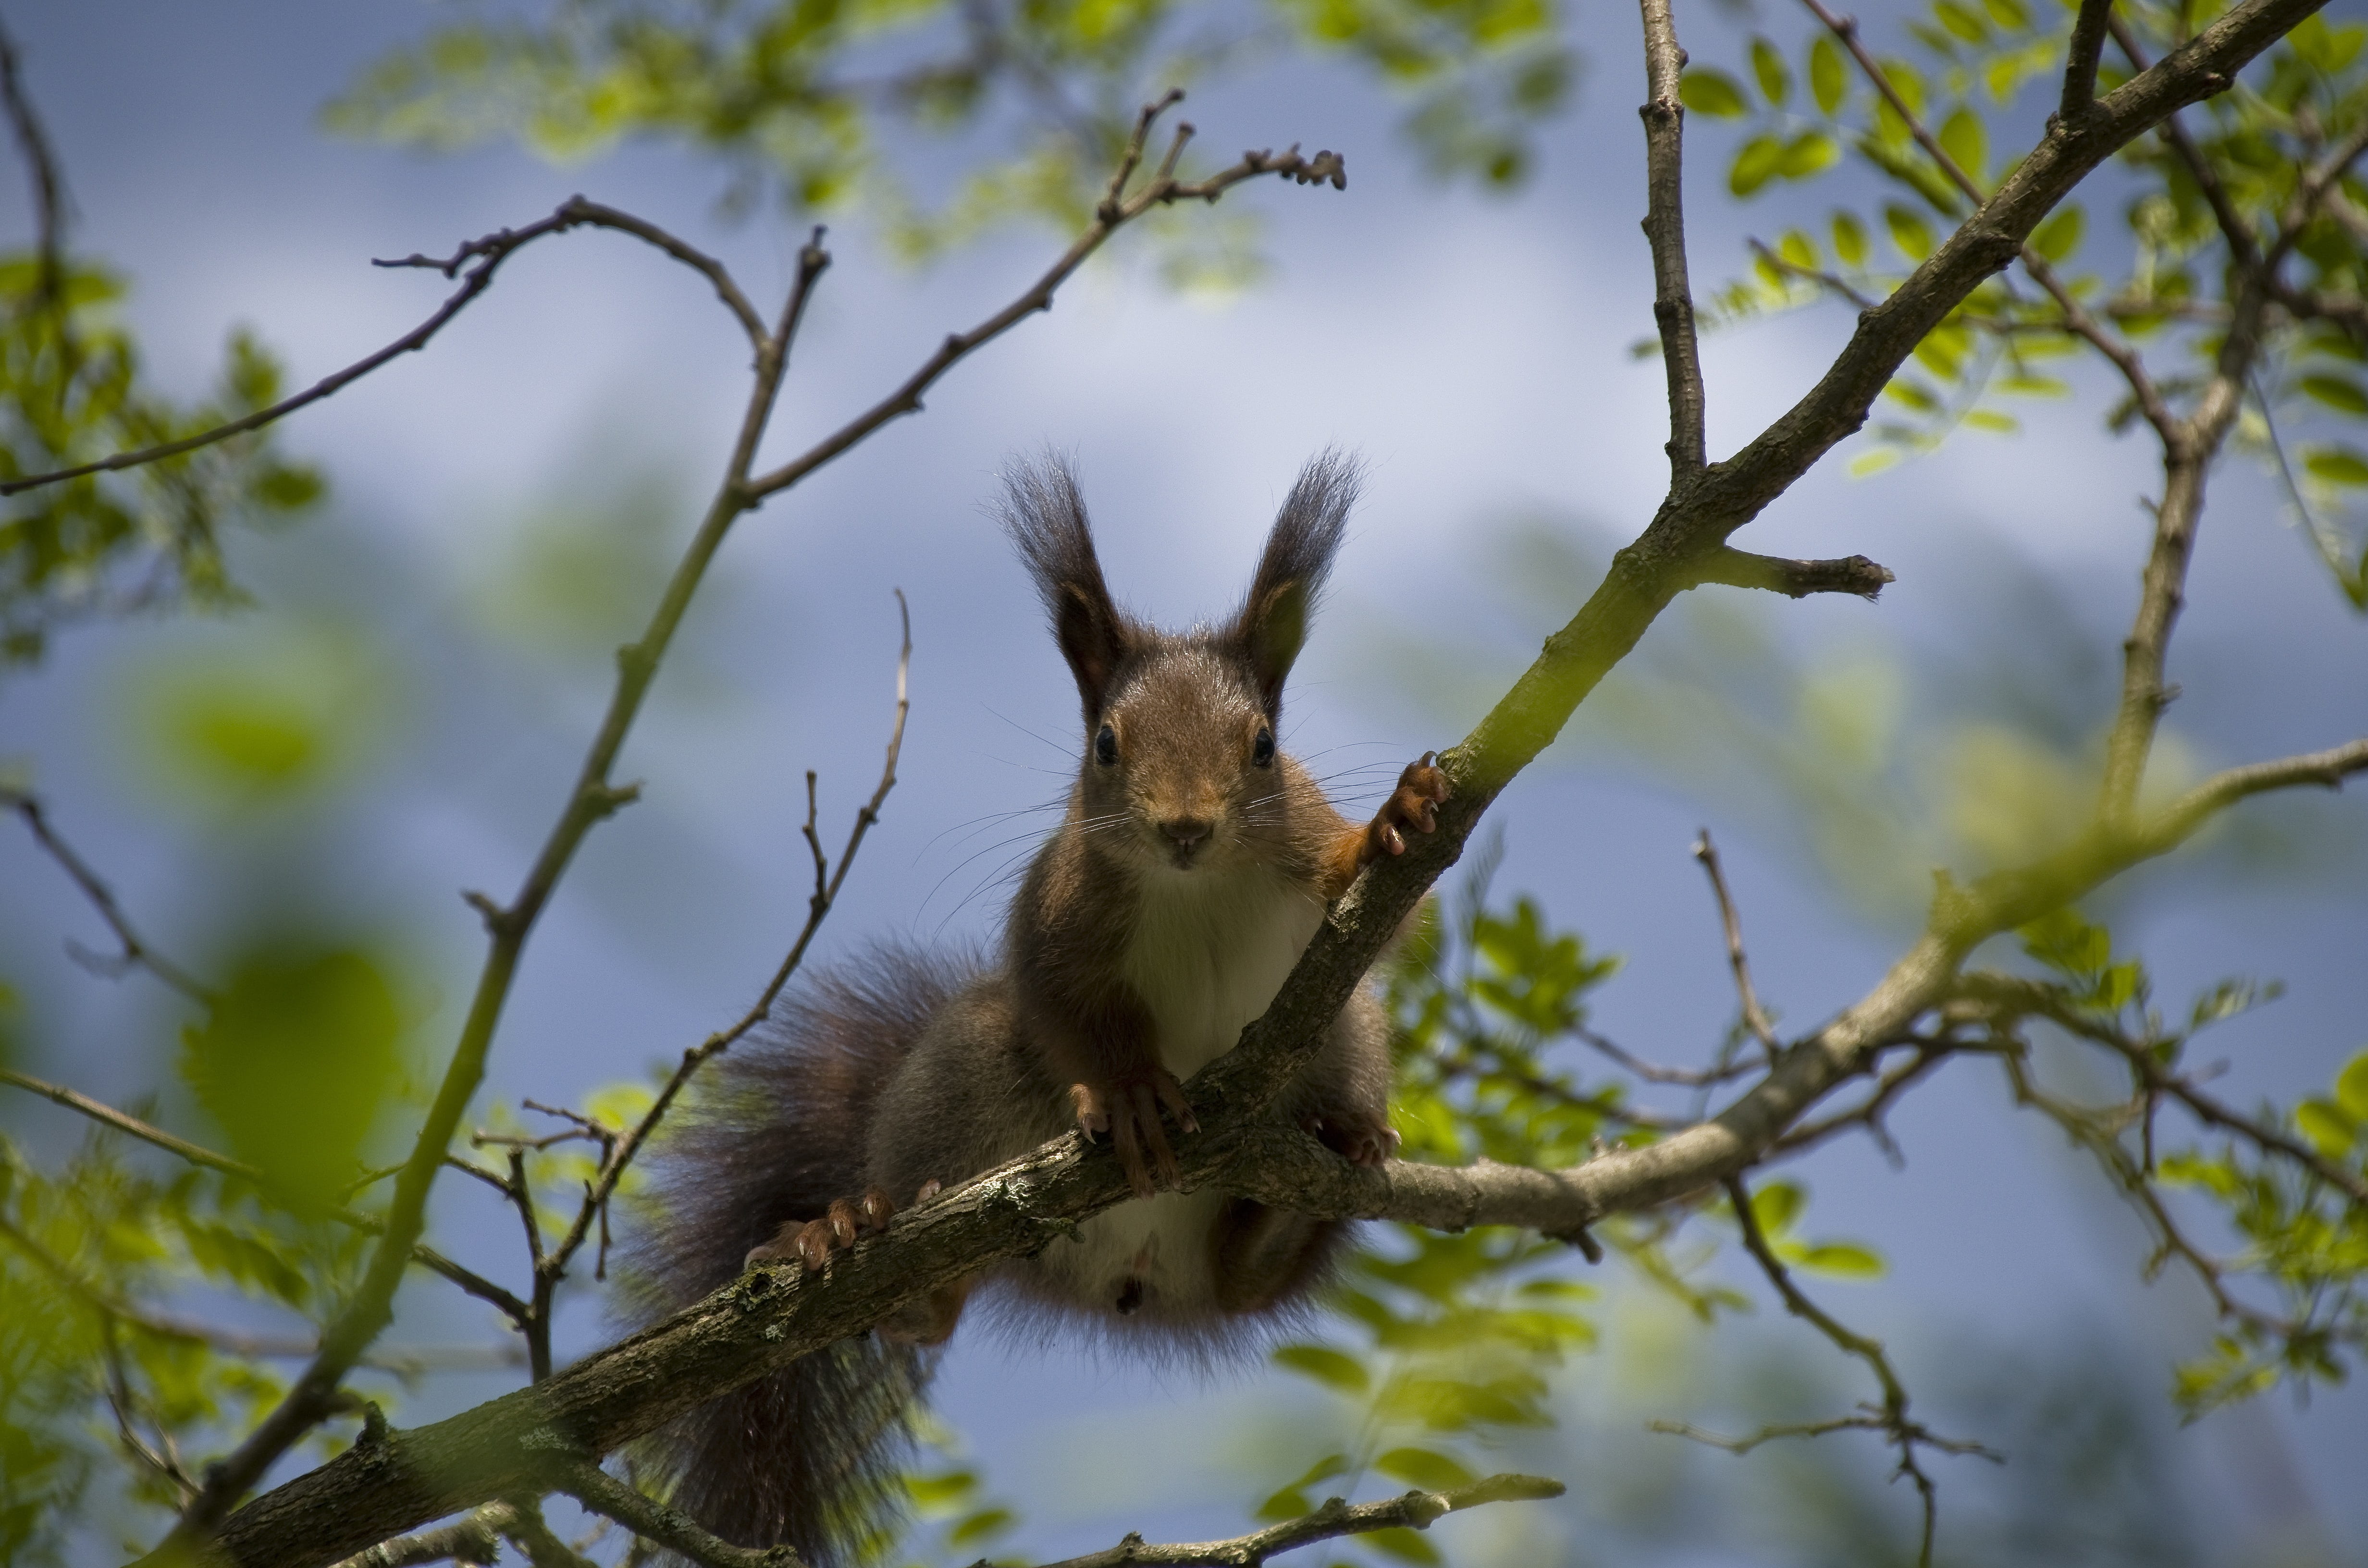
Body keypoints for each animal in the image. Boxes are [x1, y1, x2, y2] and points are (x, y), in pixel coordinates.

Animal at [621, 451, 1450, 1565]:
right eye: (1105, 743)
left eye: (1264, 746)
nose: (1183, 827)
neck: (1194, 883)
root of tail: (1134, 1277)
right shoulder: (1057, 912)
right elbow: (1069, 1008)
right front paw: (1131, 1092)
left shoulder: (1305, 853)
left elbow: (1378, 907)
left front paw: (1396, 820)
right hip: (965, 1078)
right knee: (931, 1297)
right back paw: (844, 1232)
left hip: (1346, 1039)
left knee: (1253, 1277)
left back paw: (1329, 1156)